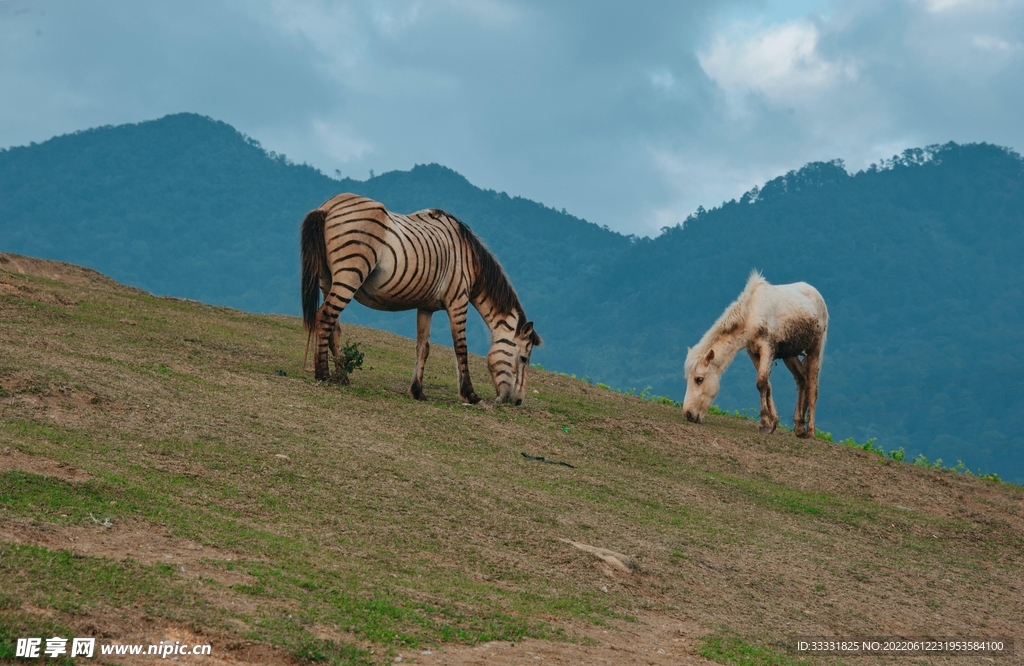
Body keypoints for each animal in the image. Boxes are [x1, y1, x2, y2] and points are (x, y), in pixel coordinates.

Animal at [301, 191, 544, 403]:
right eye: (524, 358)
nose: (518, 402)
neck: (469, 260)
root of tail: (329, 206)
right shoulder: (458, 301)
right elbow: (461, 348)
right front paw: (470, 395)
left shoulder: (426, 307)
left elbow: (423, 347)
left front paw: (417, 391)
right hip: (350, 274)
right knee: (324, 317)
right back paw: (323, 373)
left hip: (327, 280)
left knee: (334, 326)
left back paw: (341, 376)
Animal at [684, 270, 827, 436]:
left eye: (699, 379)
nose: (688, 414)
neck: (752, 315)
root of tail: (817, 294)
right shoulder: (753, 352)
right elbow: (767, 384)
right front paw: (773, 422)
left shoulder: (767, 349)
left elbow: (761, 382)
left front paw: (765, 424)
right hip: (789, 355)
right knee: (802, 379)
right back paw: (798, 427)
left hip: (814, 349)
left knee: (812, 387)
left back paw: (810, 431)